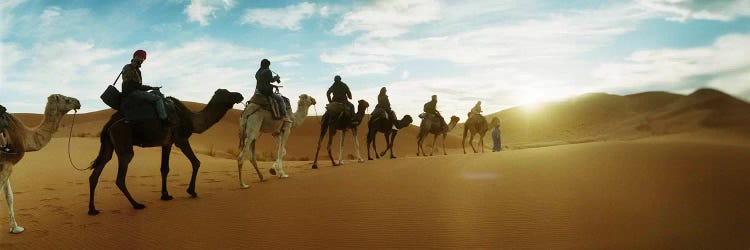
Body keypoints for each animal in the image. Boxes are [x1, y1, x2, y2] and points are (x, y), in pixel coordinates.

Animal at [0, 94, 81, 233]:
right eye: (67, 100)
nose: (78, 102)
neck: (24, 136)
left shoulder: (6, 163)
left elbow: (9, 196)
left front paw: (15, 228)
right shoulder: (7, 164)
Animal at [87, 88, 244, 215]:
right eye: (227, 93)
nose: (240, 95)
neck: (191, 119)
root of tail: (108, 124)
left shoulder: (167, 143)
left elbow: (164, 168)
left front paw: (165, 195)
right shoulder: (181, 139)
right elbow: (196, 162)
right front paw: (191, 191)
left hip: (109, 144)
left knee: (98, 170)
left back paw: (93, 209)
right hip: (123, 139)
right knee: (121, 175)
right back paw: (137, 204)